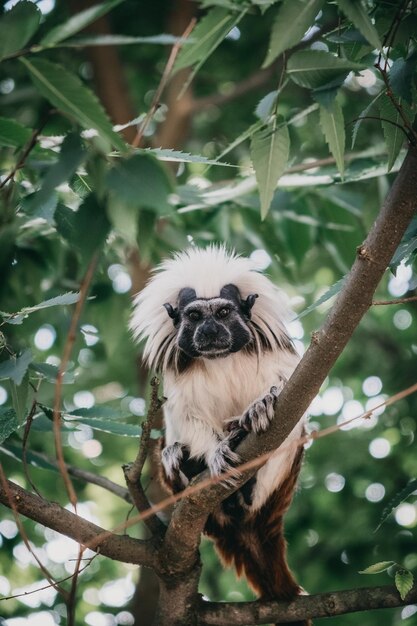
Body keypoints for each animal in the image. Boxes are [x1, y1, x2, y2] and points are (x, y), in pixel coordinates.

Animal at [130, 244, 308, 620]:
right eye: (196, 316)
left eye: (224, 312)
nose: (210, 330)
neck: (221, 357)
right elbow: (184, 417)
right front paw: (213, 453)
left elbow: (295, 397)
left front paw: (259, 406)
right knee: (167, 445)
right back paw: (185, 465)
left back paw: (245, 478)